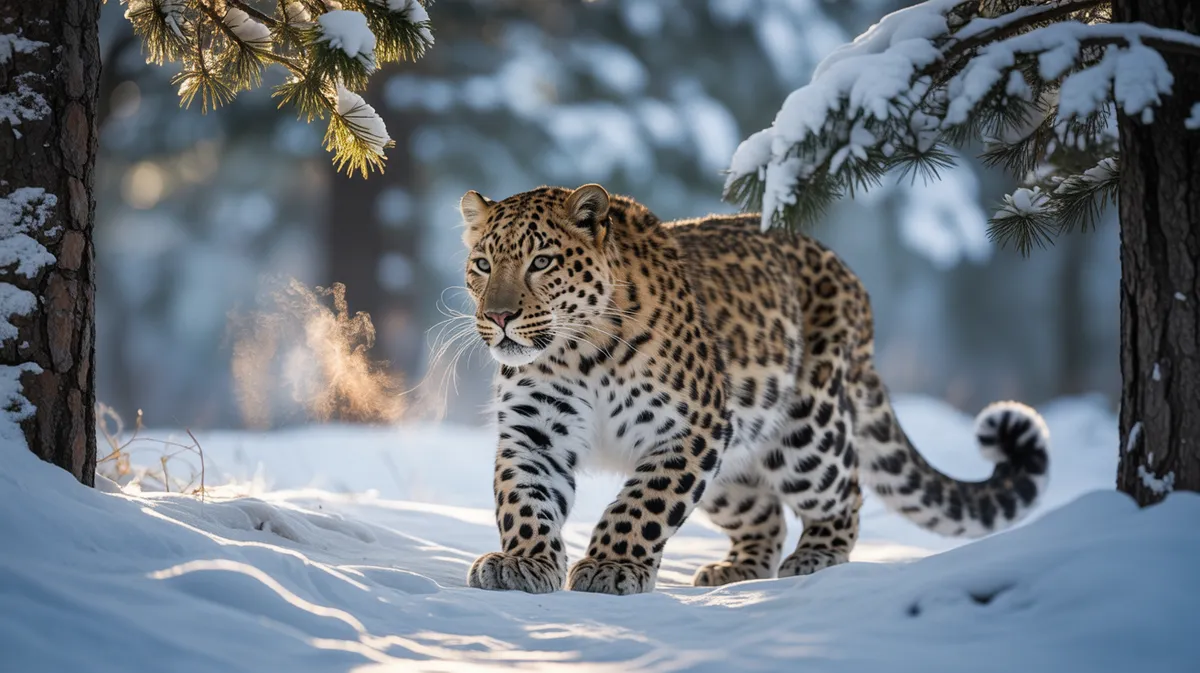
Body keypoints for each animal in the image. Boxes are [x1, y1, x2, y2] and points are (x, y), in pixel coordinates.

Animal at [460, 183, 1050, 596]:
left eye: (541, 262)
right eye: (483, 265)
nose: (499, 316)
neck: (575, 353)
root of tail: (851, 278)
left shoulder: (691, 428)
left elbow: (644, 504)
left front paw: (611, 565)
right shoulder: (535, 433)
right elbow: (523, 497)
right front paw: (523, 562)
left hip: (805, 432)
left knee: (846, 489)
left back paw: (816, 559)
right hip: (733, 464)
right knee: (764, 514)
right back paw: (738, 569)